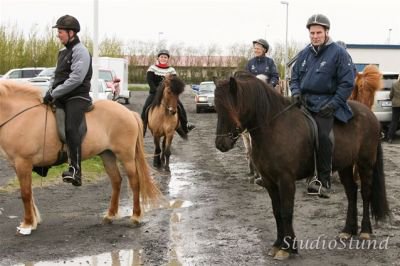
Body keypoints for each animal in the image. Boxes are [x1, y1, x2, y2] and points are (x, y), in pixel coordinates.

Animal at [0, 80, 162, 235]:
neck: (20, 115)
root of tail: (129, 113)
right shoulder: (18, 165)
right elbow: (29, 193)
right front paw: (33, 222)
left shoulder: (23, 162)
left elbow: (26, 194)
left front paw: (27, 225)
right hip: (107, 155)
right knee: (116, 181)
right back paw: (110, 215)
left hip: (126, 156)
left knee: (135, 182)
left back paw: (135, 217)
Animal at [214, 71, 390, 260]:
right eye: (217, 108)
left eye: (231, 107)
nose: (221, 144)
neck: (274, 128)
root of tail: (370, 114)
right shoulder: (269, 181)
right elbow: (277, 212)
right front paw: (277, 244)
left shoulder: (286, 180)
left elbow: (286, 211)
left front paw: (287, 247)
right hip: (345, 166)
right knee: (351, 193)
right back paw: (348, 231)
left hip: (365, 163)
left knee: (365, 193)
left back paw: (365, 231)